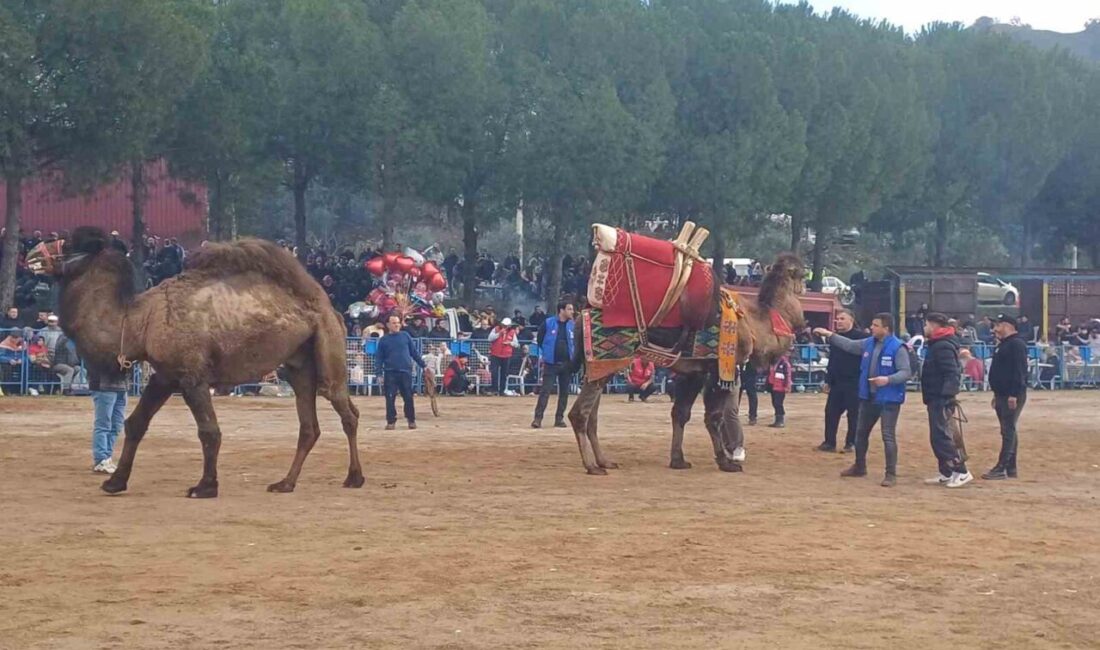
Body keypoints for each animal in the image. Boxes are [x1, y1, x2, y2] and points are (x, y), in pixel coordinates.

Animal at [25, 228, 365, 499]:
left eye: (68, 243)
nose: (31, 255)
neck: (137, 323)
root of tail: (329, 308)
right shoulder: (164, 375)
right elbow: (135, 423)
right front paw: (115, 482)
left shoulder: (192, 376)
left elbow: (209, 431)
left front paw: (205, 486)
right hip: (297, 364)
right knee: (309, 426)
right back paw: (284, 483)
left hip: (328, 348)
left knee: (347, 411)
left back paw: (354, 478)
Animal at [563, 222, 805, 472]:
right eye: (802, 274)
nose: (804, 288)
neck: (756, 323)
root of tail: (582, 317)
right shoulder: (719, 368)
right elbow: (714, 416)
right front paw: (726, 462)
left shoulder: (694, 372)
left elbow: (681, 413)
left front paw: (678, 460)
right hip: (604, 359)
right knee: (579, 413)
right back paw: (592, 466)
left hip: (600, 364)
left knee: (592, 415)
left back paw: (605, 461)